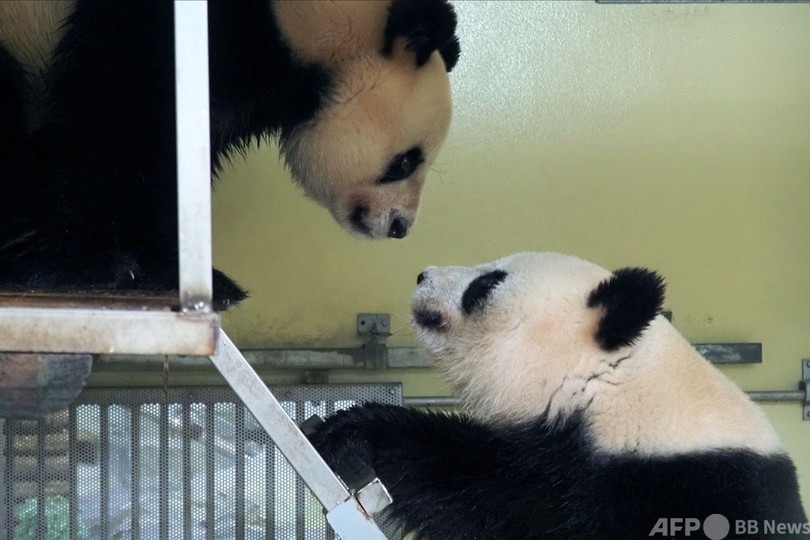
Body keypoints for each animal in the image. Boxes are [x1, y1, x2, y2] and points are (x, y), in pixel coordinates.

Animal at [310, 251, 808, 536]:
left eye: (487, 283)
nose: (421, 276)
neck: (610, 383)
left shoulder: (645, 486)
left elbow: (487, 496)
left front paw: (354, 431)